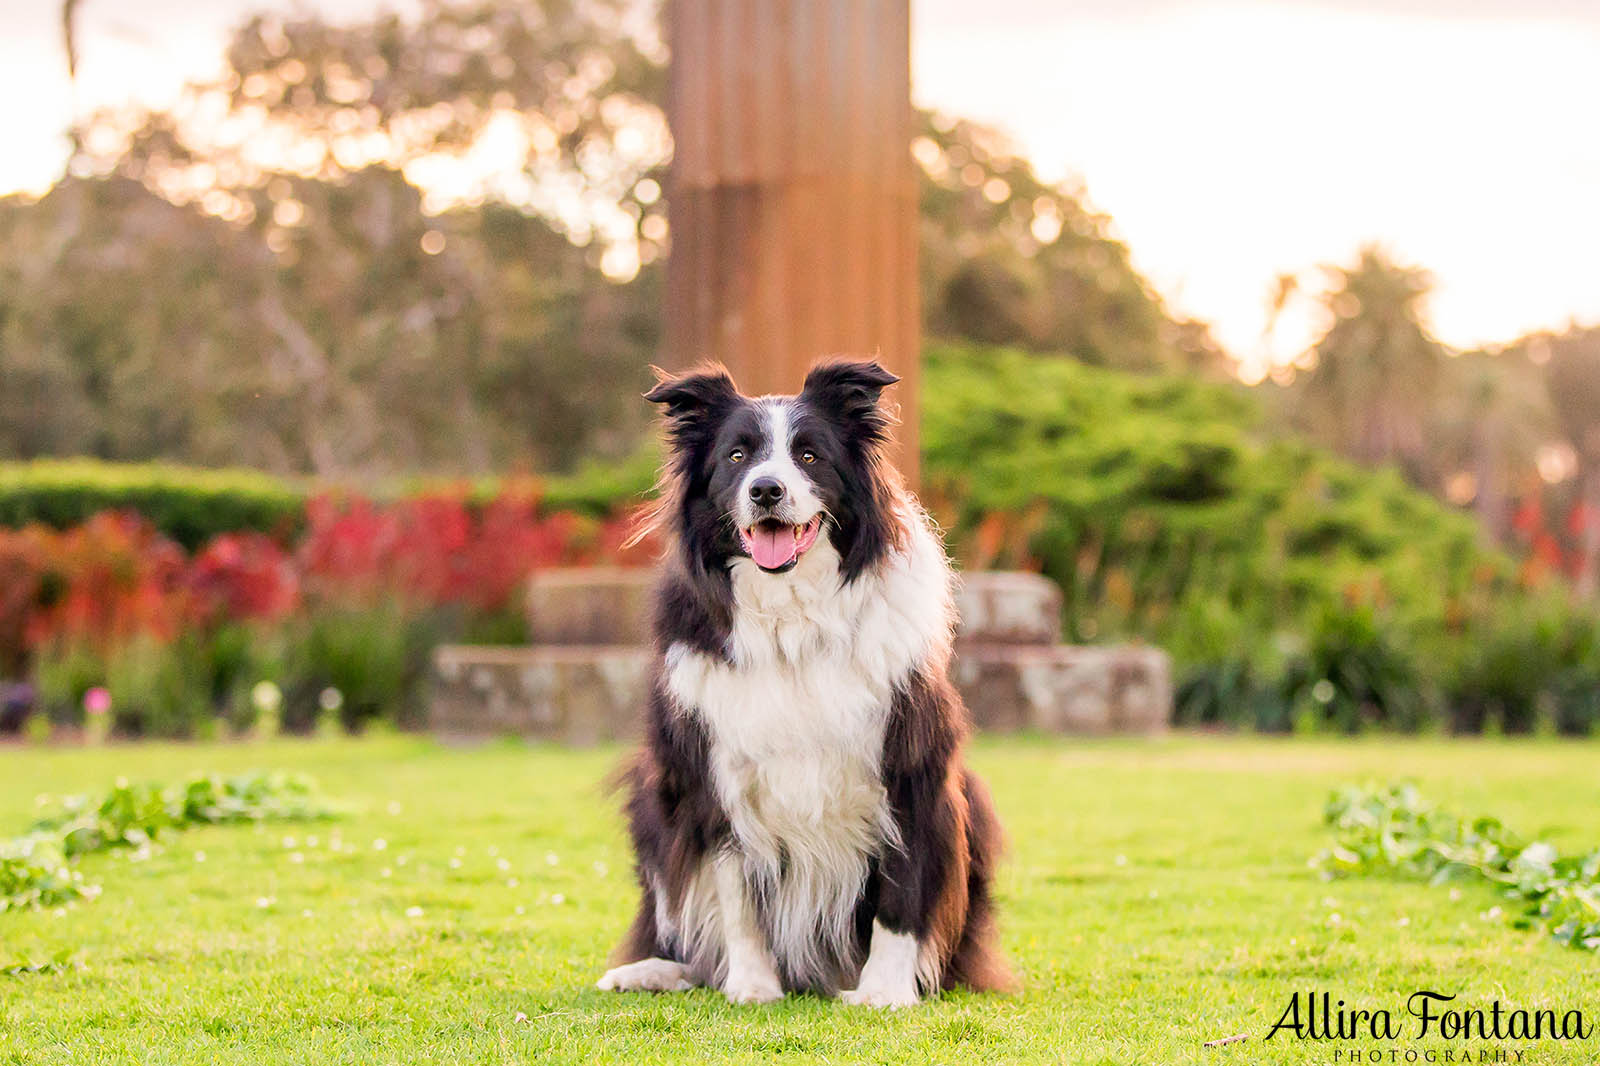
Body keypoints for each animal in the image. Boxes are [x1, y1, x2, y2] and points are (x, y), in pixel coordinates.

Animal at [595, 356, 1004, 1005]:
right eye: (737, 456)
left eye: (810, 455)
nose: (766, 489)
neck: (791, 615)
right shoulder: (712, 773)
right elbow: (735, 891)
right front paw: (752, 987)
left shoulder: (912, 767)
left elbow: (903, 889)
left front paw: (886, 993)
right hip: (653, 799)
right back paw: (654, 971)